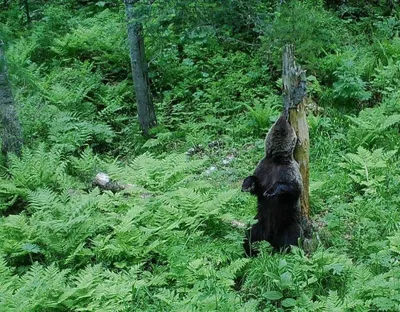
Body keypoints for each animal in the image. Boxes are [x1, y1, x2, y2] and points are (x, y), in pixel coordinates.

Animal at [242, 114, 302, 256]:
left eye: (288, 124)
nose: (283, 115)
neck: (276, 160)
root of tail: (270, 237)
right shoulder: (263, 168)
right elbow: (257, 186)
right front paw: (247, 184)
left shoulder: (290, 171)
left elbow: (294, 189)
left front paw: (271, 190)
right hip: (259, 221)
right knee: (250, 236)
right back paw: (250, 251)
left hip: (288, 223)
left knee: (292, 240)